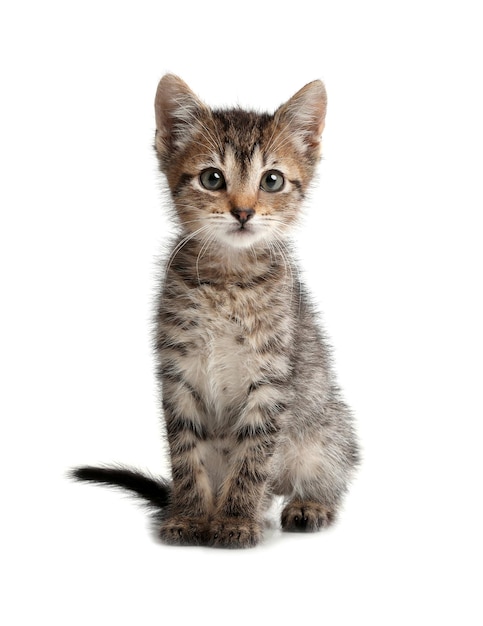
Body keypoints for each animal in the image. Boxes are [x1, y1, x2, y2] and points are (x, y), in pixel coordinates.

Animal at [73, 74, 360, 544]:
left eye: (272, 180)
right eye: (212, 178)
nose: (243, 212)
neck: (229, 280)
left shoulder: (272, 380)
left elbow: (254, 456)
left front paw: (237, 518)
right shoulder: (179, 374)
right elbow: (186, 454)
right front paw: (190, 517)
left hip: (326, 428)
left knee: (326, 469)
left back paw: (307, 503)